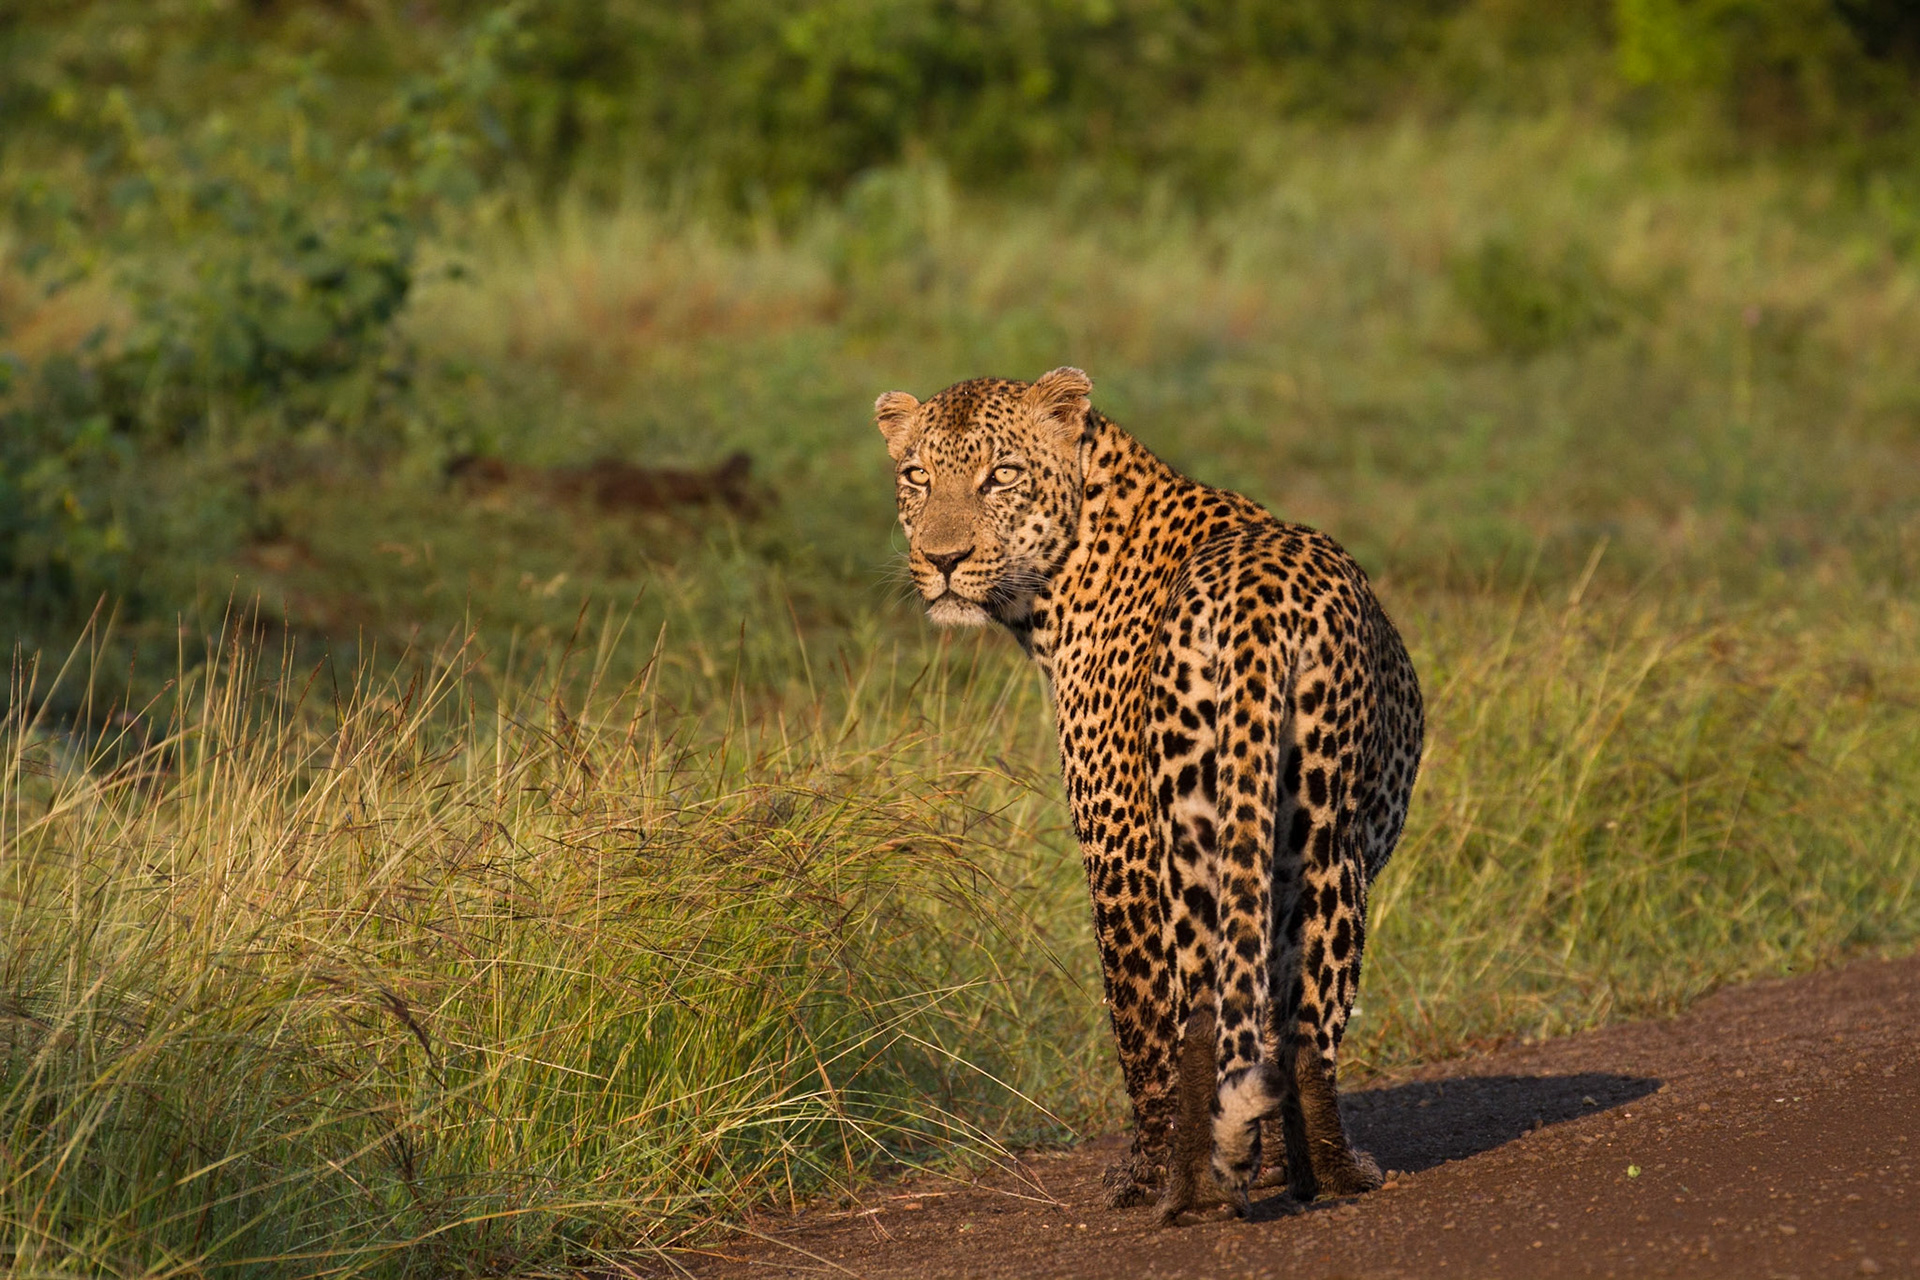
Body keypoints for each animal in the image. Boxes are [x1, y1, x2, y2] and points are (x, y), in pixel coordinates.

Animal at [876, 368, 1424, 1225]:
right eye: (917, 477)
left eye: (1001, 475)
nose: (943, 558)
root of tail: (1258, 605)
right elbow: (1247, 1017)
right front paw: (1262, 1165)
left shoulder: (1116, 836)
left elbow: (1140, 1020)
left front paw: (1151, 1173)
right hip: (1301, 839)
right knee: (1282, 1022)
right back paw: (1298, 1177)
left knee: (1204, 1017)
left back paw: (1212, 1185)